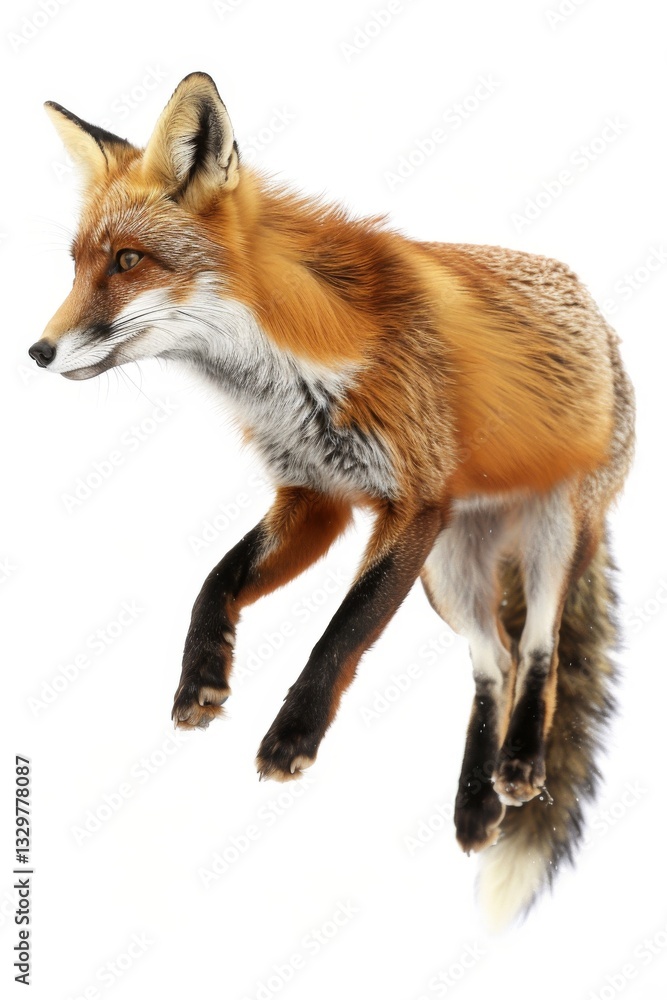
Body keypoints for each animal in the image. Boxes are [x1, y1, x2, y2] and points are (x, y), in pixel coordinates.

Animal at [30, 72, 635, 928]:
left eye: (127, 260)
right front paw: (202, 675)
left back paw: (518, 765)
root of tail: (600, 318)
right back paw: (474, 802)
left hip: (549, 538)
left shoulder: (410, 504)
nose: (37, 351)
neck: (287, 369)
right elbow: (214, 582)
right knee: (493, 661)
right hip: (448, 575)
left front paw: (292, 738)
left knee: (539, 651)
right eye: (78, 263)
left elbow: (340, 632)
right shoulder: (315, 496)